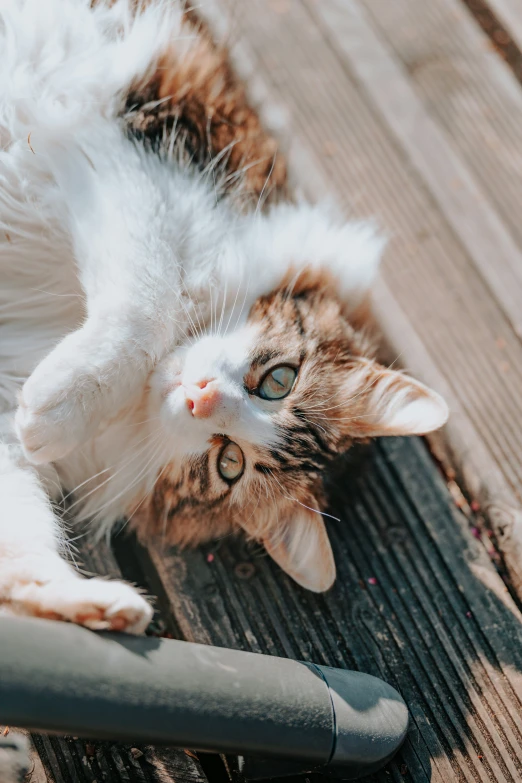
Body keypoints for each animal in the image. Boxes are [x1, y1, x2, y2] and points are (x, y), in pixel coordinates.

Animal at [1, 0, 446, 632]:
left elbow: (18, 548)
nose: (200, 396)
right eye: (279, 380)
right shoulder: (138, 154)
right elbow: (152, 296)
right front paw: (62, 403)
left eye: (227, 463)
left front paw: (87, 606)